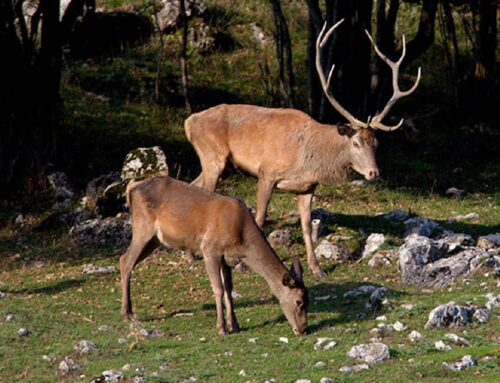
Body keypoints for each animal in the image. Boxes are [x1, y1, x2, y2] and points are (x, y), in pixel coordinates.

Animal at [121, 177, 308, 336]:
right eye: (299, 301)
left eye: (307, 297)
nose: (303, 329)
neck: (242, 240)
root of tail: (132, 188)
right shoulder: (210, 248)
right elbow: (218, 288)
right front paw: (222, 328)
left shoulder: (227, 258)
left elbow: (229, 289)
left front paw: (235, 325)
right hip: (142, 227)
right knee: (125, 261)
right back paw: (127, 314)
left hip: (154, 239)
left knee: (125, 259)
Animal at [186, 19, 420, 278]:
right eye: (356, 142)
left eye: (376, 144)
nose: (373, 172)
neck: (306, 158)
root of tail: (189, 121)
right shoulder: (267, 172)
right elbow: (260, 218)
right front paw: (242, 264)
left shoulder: (307, 187)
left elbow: (307, 225)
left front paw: (317, 268)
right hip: (213, 156)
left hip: (223, 165)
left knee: (192, 185)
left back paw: (188, 253)